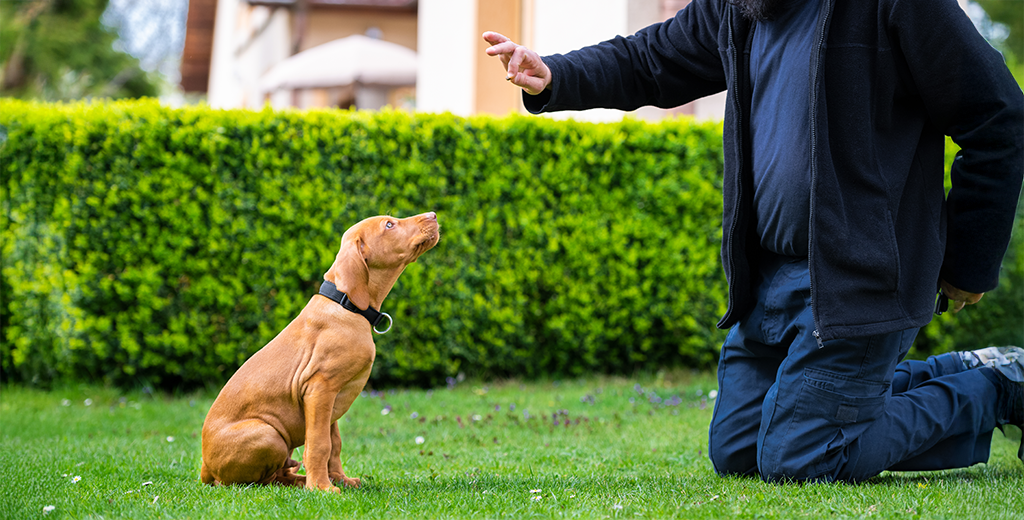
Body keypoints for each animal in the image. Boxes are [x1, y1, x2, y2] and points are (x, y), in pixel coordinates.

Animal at [199, 210, 440, 491]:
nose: (433, 214)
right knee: (256, 481)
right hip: (268, 434)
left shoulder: (333, 398)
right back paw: (303, 482)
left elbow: (334, 445)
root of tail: (204, 469)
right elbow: (319, 444)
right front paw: (322, 488)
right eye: (389, 225)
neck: (346, 305)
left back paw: (300, 478)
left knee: (279, 475)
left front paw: (340, 479)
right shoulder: (319, 388)